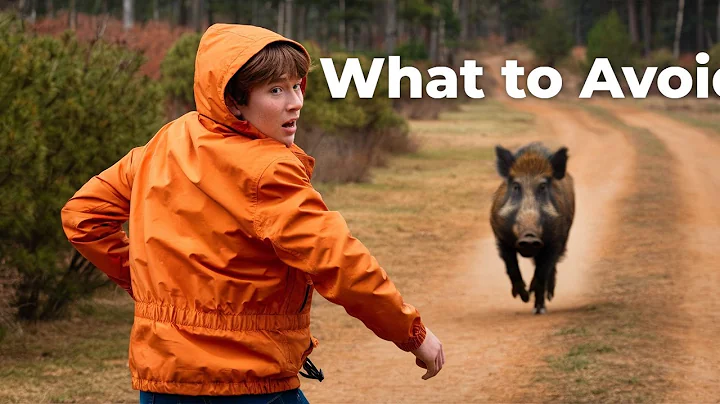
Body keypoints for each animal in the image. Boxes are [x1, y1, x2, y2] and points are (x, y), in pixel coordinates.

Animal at [490, 142, 575, 314]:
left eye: (543, 186)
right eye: (516, 186)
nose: (529, 236)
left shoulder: (555, 241)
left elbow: (542, 272)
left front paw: (538, 307)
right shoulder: (501, 239)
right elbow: (512, 268)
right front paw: (524, 297)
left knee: (550, 268)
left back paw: (546, 300)